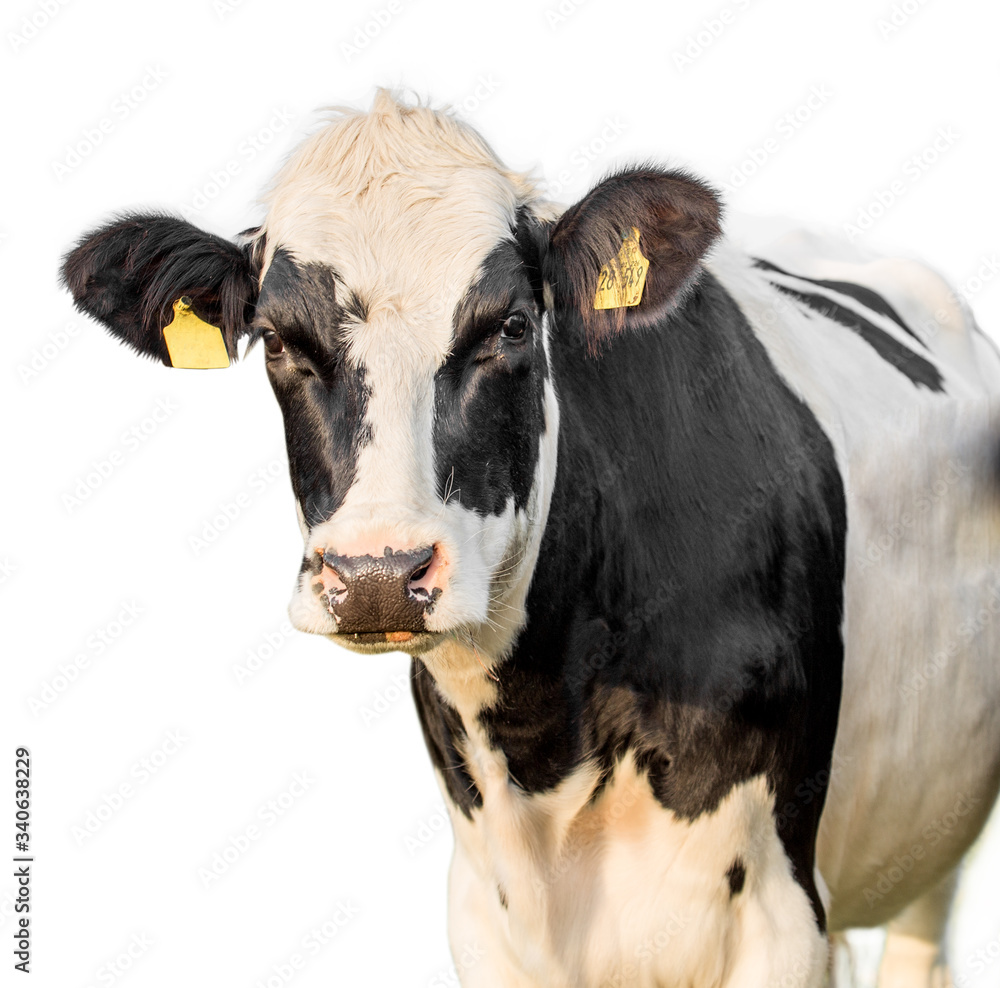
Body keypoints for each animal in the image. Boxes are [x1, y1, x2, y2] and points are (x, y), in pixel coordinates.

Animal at [61, 90, 1000, 987]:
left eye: (512, 325)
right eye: (279, 342)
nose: (376, 574)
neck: (551, 742)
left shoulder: (776, 917)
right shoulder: (484, 915)